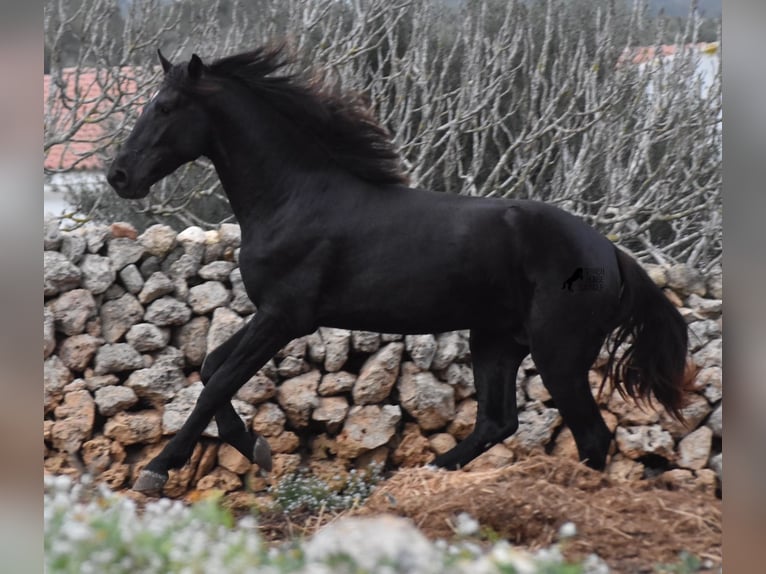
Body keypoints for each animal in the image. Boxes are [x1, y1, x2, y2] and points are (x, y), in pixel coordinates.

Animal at [108, 46, 688, 496]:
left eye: (165, 106)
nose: (118, 176)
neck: (294, 197)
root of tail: (610, 253)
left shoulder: (285, 317)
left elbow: (217, 382)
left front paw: (158, 469)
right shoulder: (272, 315)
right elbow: (211, 370)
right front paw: (257, 448)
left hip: (558, 353)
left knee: (590, 436)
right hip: (496, 341)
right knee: (497, 422)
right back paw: (415, 480)